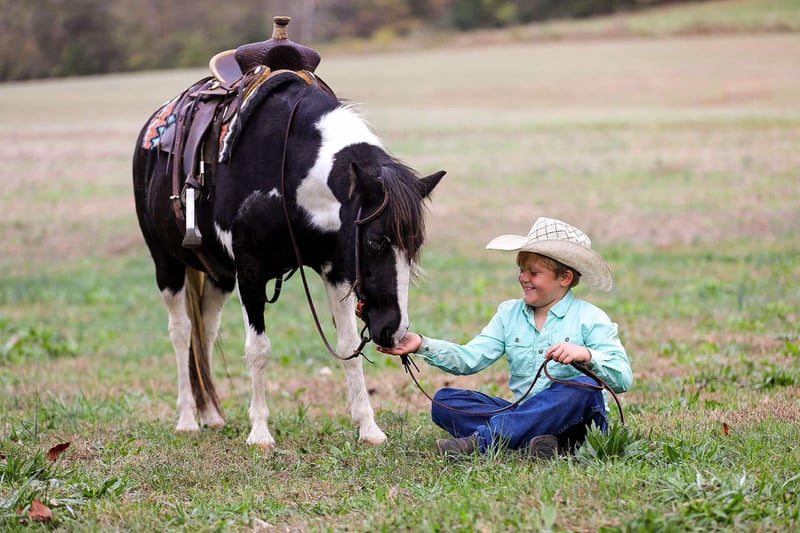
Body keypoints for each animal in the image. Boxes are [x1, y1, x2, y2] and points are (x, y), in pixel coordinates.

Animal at [132, 72, 444, 448]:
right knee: (181, 332)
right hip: (167, 264)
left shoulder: (336, 269)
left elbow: (348, 346)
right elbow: (258, 349)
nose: (393, 332)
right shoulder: (249, 273)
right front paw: (260, 432)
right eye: (374, 241)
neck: (287, 169)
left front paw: (369, 428)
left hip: (218, 275)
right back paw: (187, 419)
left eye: (414, 249)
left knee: (203, 331)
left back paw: (210, 414)